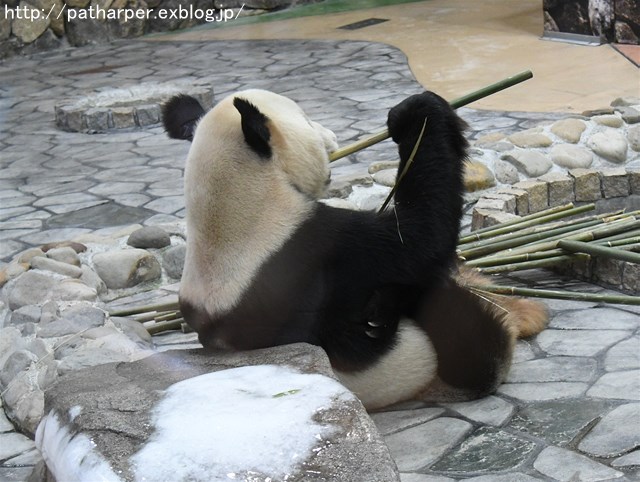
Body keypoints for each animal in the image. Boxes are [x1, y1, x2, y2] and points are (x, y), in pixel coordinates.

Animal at [162, 88, 548, 408]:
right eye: (307, 120)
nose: (332, 137)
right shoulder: (316, 250)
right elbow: (421, 238)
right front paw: (416, 113)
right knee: (462, 324)